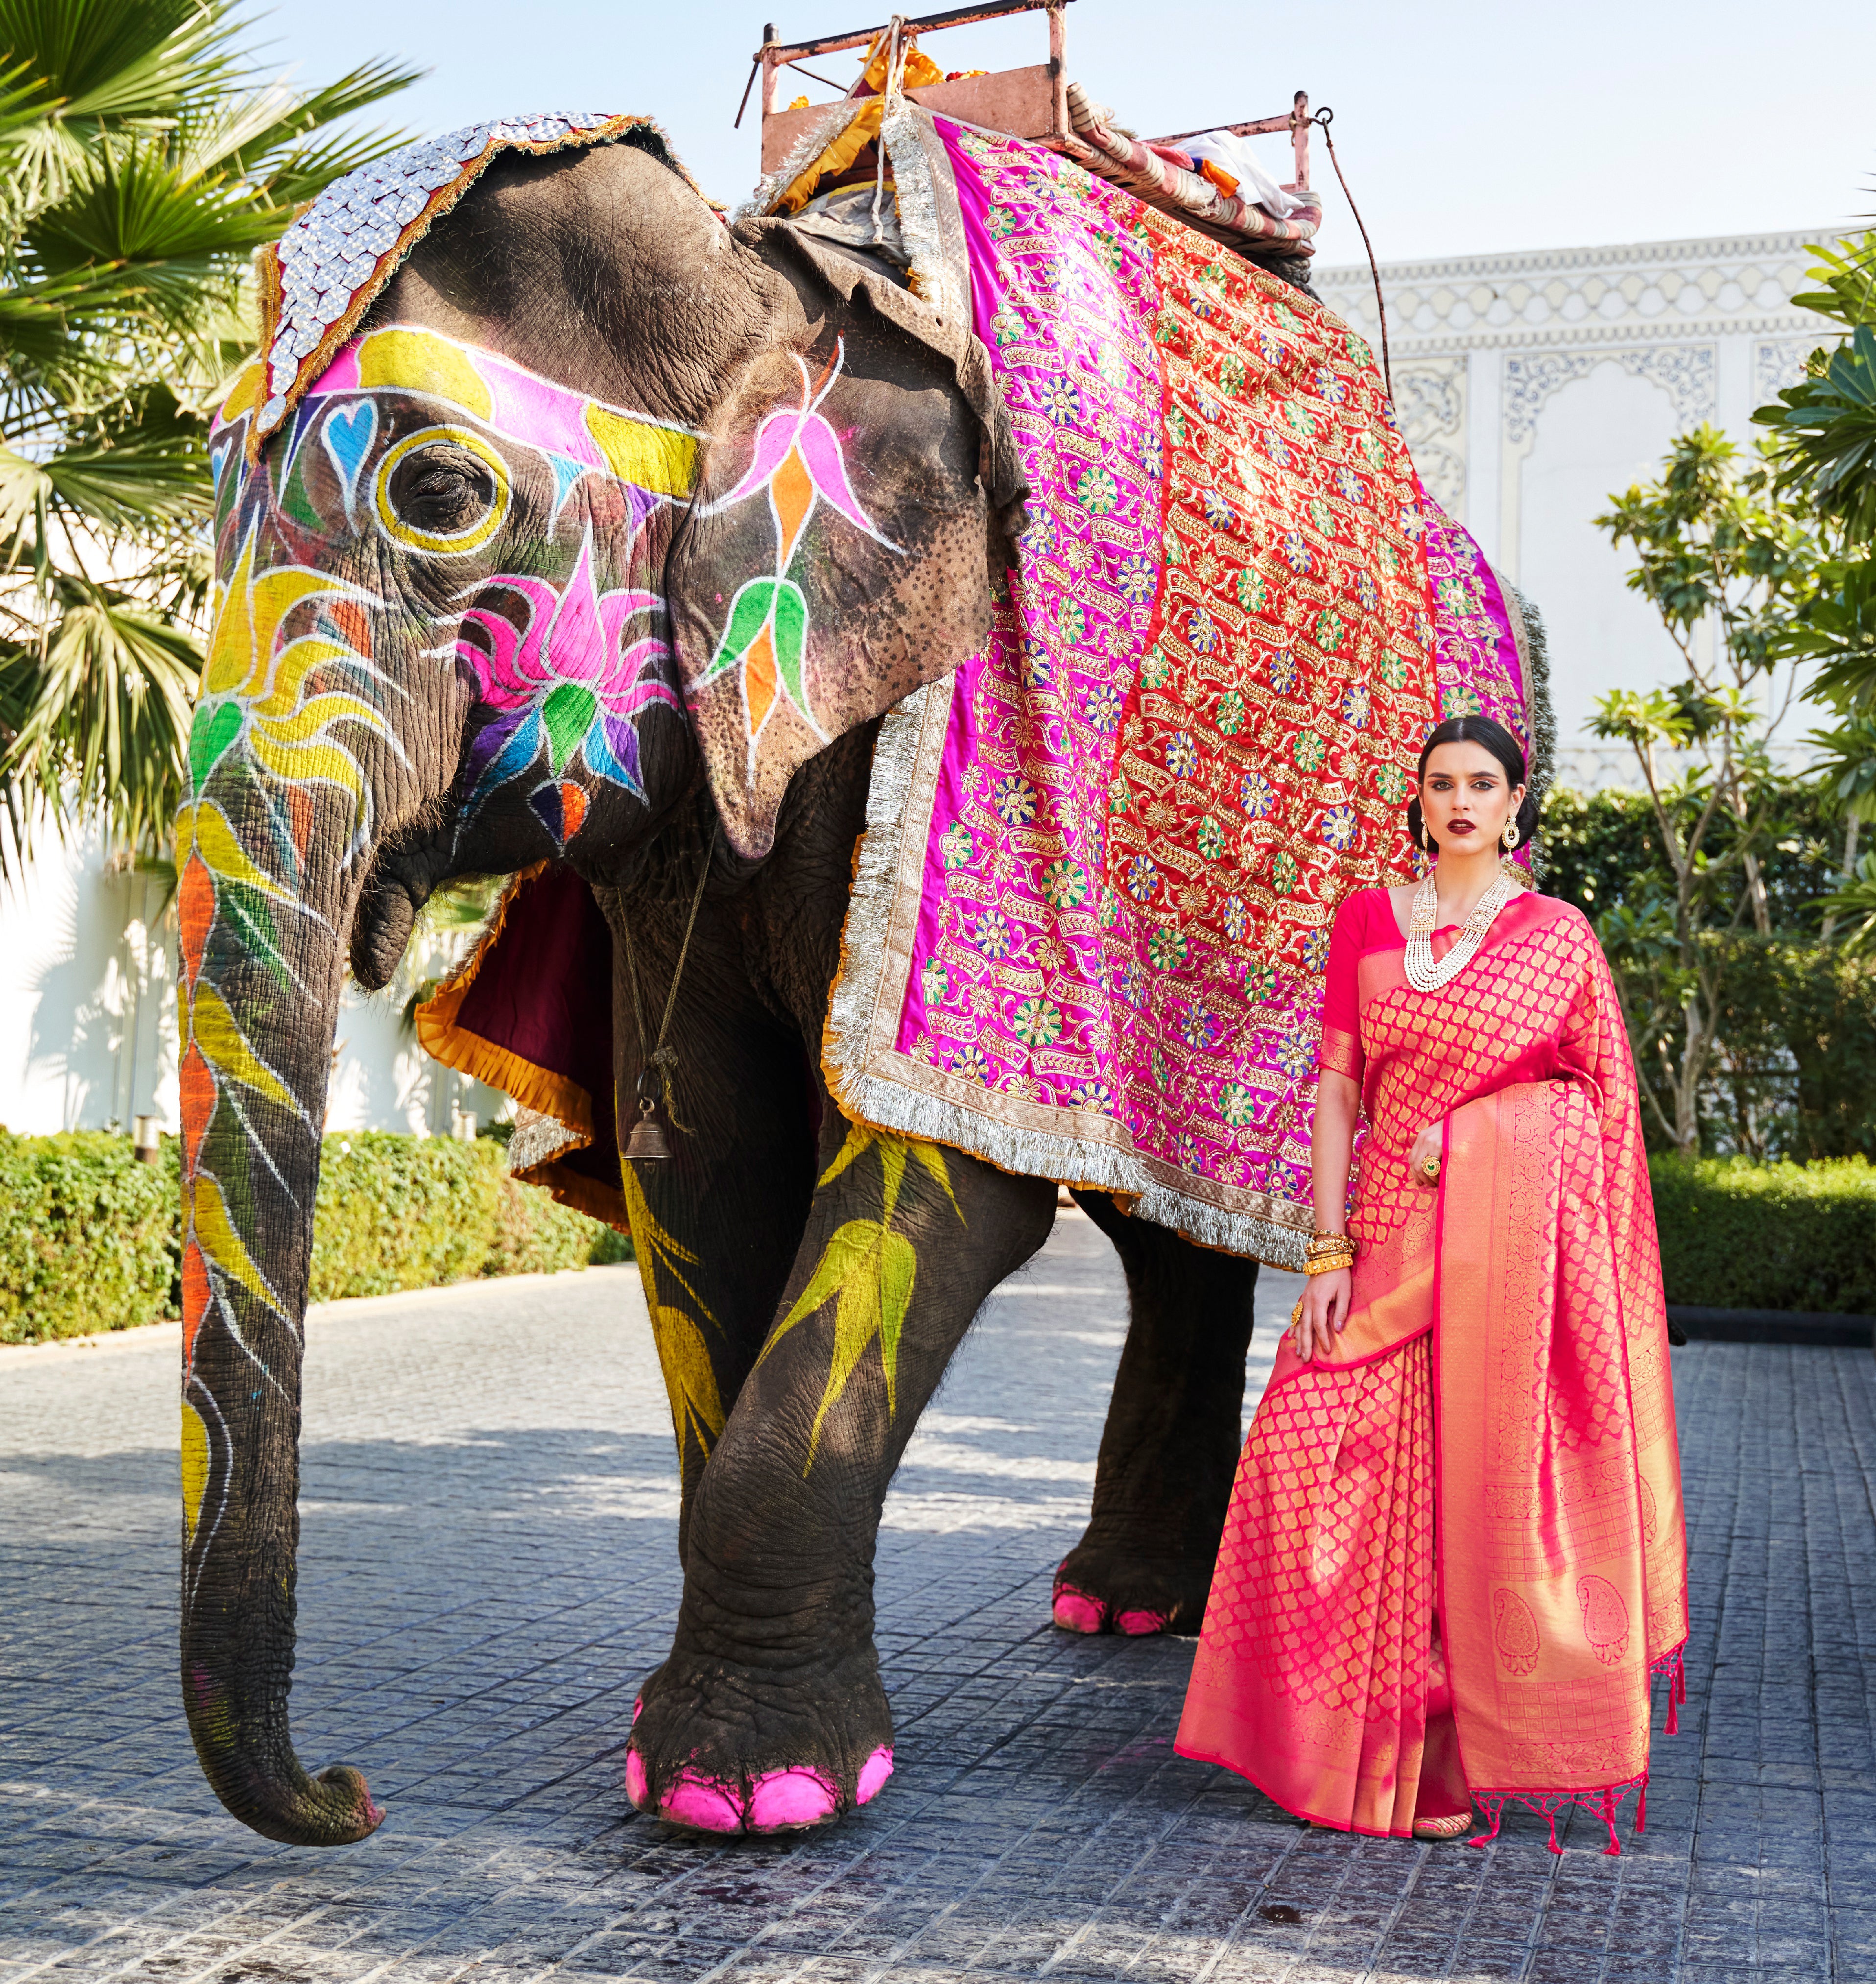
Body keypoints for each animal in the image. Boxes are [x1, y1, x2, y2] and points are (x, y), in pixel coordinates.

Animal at [171, 108, 1523, 1841]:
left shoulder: (958, 745)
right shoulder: (680, 833)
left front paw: (749, 1794)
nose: (352, 1796)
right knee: (1163, 1232)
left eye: (442, 492)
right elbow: (694, 1164)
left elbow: (926, 1182)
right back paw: (1123, 1605)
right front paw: (698, 1755)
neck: (768, 284)